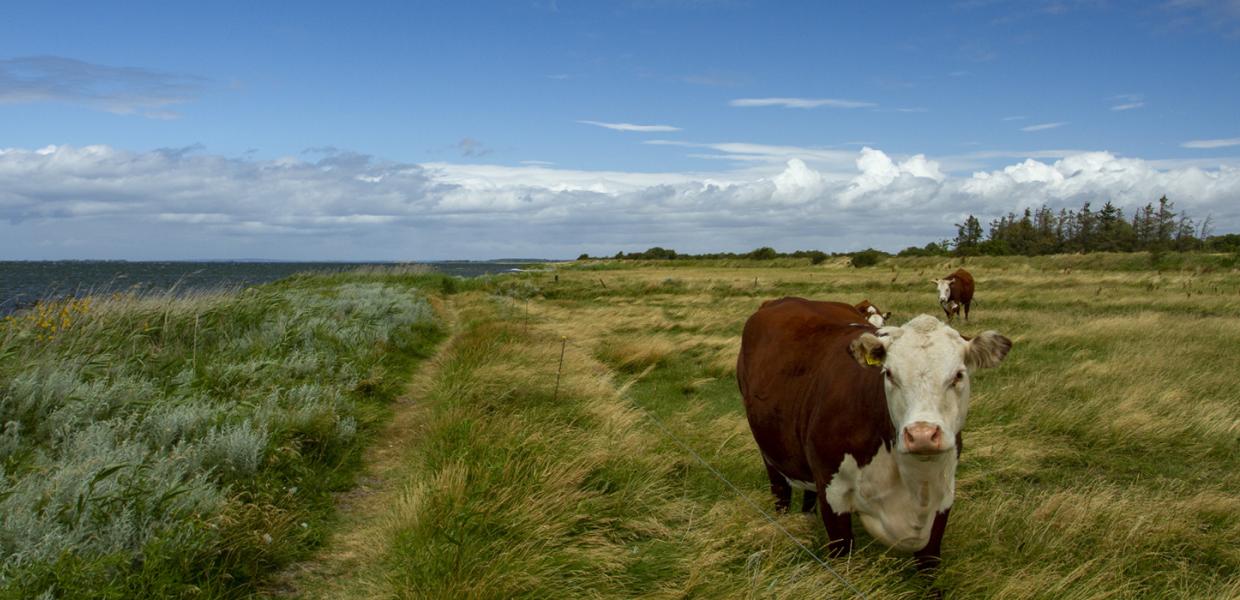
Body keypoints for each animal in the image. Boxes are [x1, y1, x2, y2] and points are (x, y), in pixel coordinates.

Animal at [734, 297, 1006, 570]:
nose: (921, 434)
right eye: (890, 374)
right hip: (770, 453)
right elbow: (841, 554)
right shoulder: (833, 493)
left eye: (958, 375)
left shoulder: (942, 498)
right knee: (781, 492)